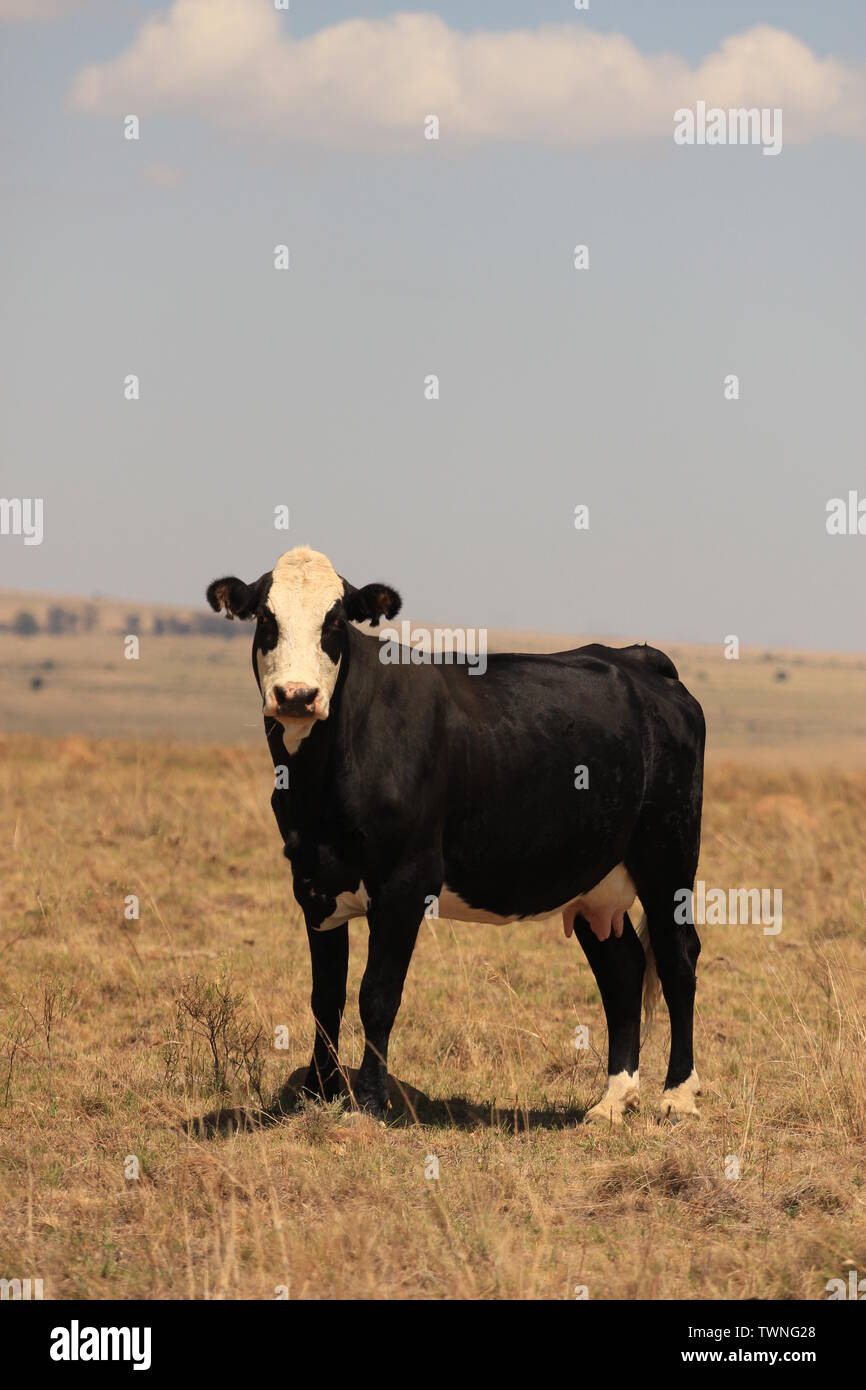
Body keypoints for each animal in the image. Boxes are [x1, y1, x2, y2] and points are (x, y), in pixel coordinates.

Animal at [208, 547, 706, 1123]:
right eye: (267, 620)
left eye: (334, 622)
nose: (296, 695)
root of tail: (638, 659)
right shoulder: (313, 880)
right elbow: (324, 996)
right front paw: (317, 1091)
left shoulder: (406, 881)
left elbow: (377, 994)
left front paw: (369, 1101)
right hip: (592, 877)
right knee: (622, 968)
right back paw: (611, 1101)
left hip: (668, 856)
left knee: (677, 957)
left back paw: (678, 1095)